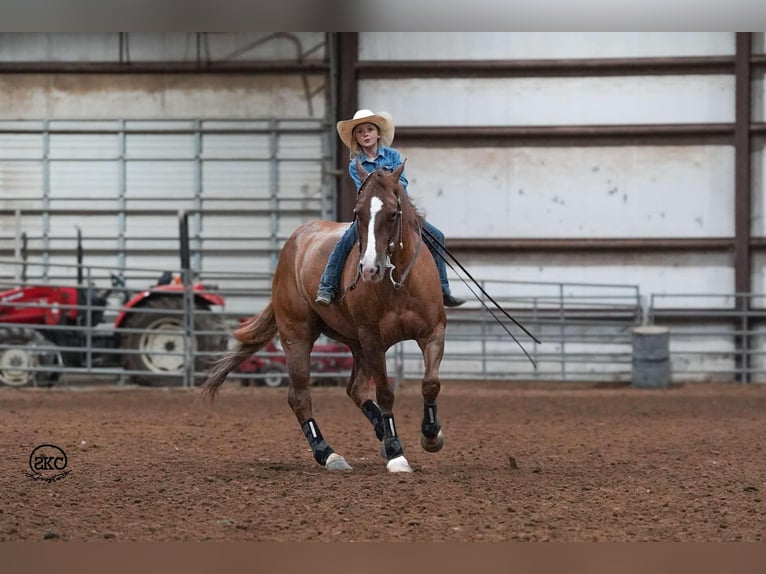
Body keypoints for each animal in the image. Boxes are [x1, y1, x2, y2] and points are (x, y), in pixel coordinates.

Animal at [201, 161, 448, 472]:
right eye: (358, 213)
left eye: (393, 213)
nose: (370, 269)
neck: (398, 283)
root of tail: (293, 244)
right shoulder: (373, 340)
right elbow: (385, 392)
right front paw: (396, 452)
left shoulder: (432, 332)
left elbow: (430, 383)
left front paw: (431, 435)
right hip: (298, 336)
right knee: (299, 396)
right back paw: (329, 453)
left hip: (355, 344)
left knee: (354, 389)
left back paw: (377, 433)